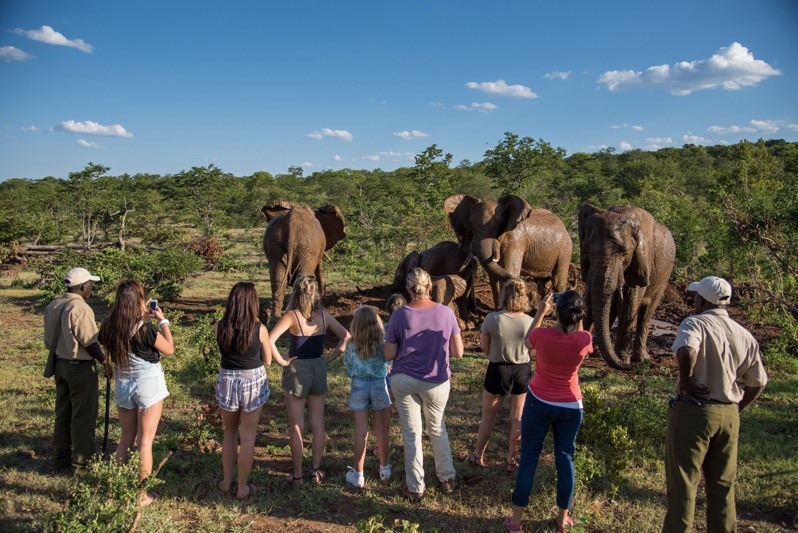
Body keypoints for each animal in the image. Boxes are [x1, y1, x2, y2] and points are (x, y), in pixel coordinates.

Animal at [444, 193, 576, 308]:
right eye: (470, 224)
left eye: (498, 223)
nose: (530, 295)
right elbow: (494, 277)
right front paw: (498, 310)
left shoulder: (515, 241)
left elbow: (508, 270)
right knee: (542, 283)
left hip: (565, 249)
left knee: (558, 282)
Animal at [580, 204, 680, 370]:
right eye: (586, 250)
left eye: (624, 253)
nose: (631, 368)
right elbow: (588, 300)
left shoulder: (643, 262)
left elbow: (629, 304)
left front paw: (622, 360)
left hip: (665, 275)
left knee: (647, 311)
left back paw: (640, 359)